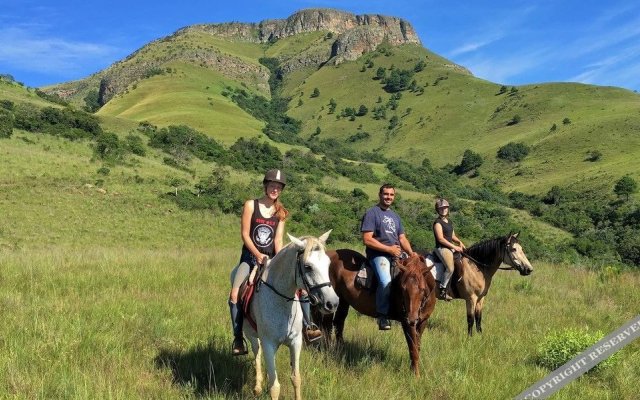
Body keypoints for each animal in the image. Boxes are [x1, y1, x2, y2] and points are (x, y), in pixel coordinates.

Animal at [320, 250, 436, 378]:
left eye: (422, 289)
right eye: (402, 288)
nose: (411, 318)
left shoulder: (422, 322)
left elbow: (417, 346)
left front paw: (414, 371)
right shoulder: (406, 324)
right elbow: (413, 348)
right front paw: (416, 376)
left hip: (343, 301)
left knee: (339, 323)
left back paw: (341, 349)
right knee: (327, 326)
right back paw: (329, 350)